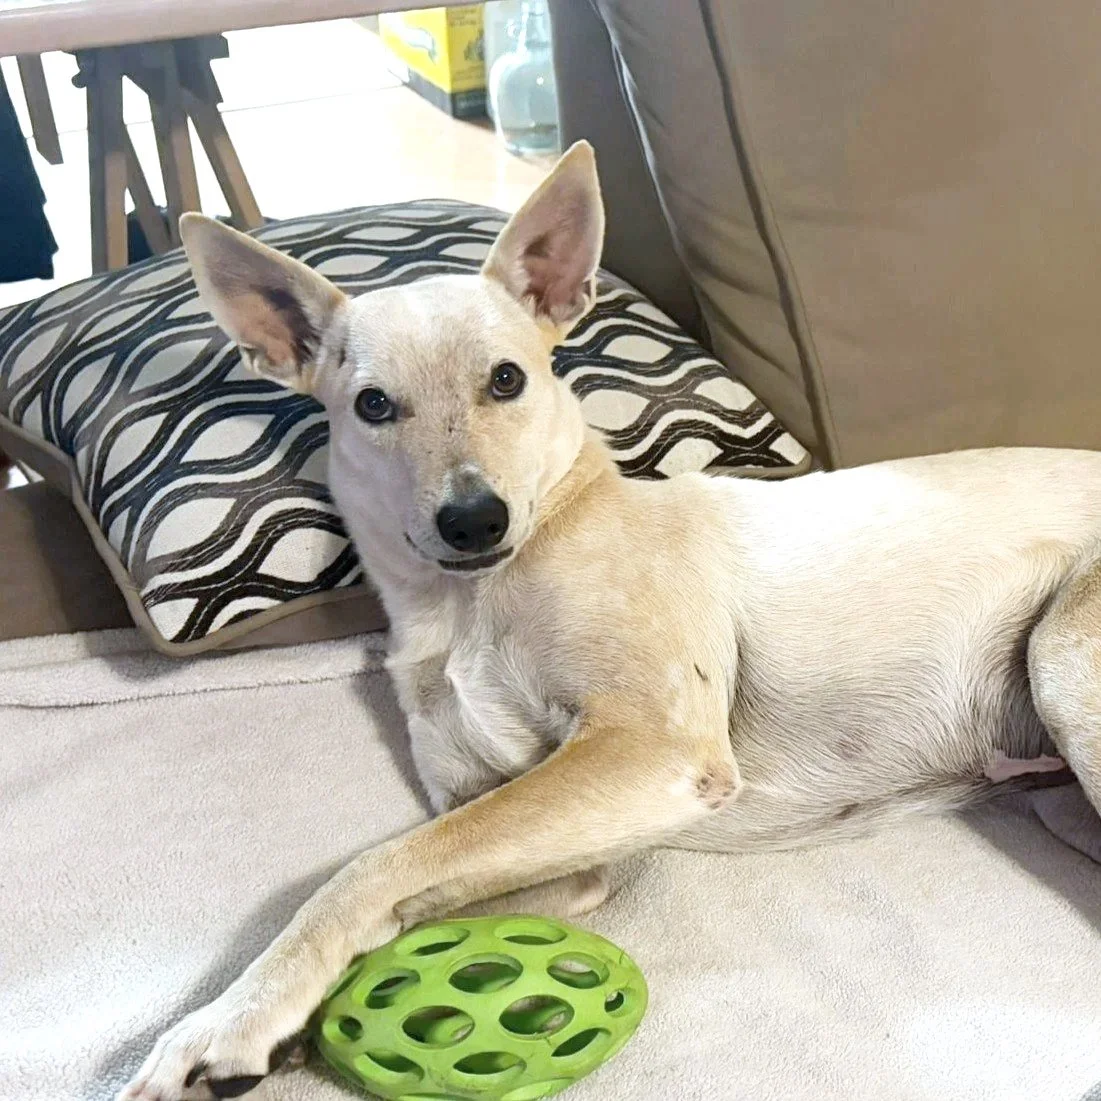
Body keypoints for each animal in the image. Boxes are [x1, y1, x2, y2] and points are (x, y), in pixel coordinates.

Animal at [120, 142, 1101, 1100]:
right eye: (372, 405)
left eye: (506, 379)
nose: (473, 520)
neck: (473, 601)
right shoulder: (546, 845)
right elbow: (412, 891)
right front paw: (287, 1019)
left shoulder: (650, 749)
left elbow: (369, 866)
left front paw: (227, 1019)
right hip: (1059, 801)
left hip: (1059, 655)